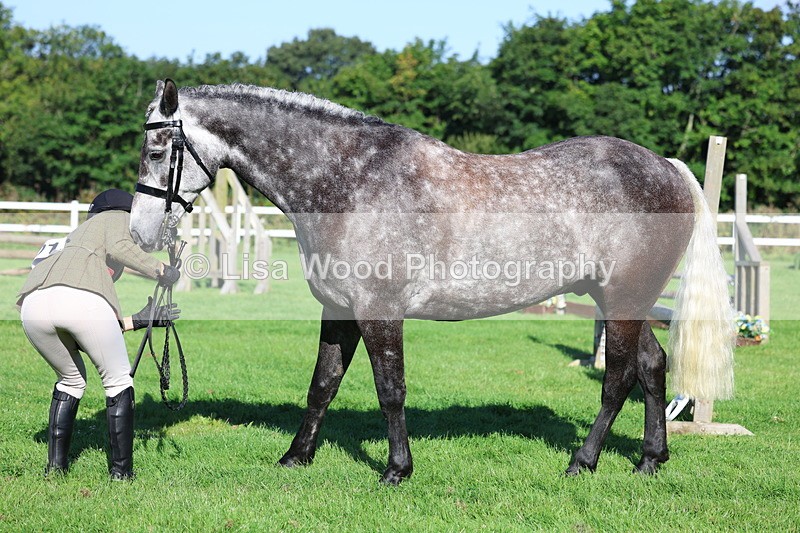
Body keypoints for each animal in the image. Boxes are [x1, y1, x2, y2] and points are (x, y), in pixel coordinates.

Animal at [130, 79, 734, 484]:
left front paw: (397, 469)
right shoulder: (339, 310)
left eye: (157, 150)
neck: (349, 180)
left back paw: (582, 462)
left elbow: (390, 389)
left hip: (624, 298)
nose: (139, 231)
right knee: (653, 366)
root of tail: (668, 167)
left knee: (618, 378)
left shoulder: (379, 311)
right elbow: (322, 384)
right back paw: (650, 460)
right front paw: (296, 457)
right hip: (621, 299)